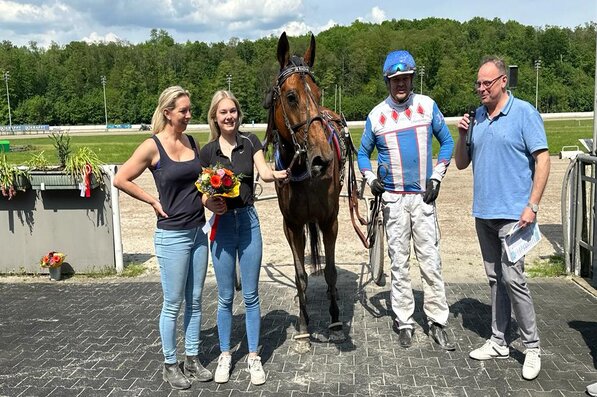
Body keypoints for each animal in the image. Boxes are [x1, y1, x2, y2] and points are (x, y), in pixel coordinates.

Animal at [264, 32, 346, 352]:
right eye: (291, 96)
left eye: (319, 92)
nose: (323, 158)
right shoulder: (292, 225)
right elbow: (299, 276)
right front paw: (303, 327)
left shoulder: (330, 220)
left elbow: (332, 271)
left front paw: (335, 321)